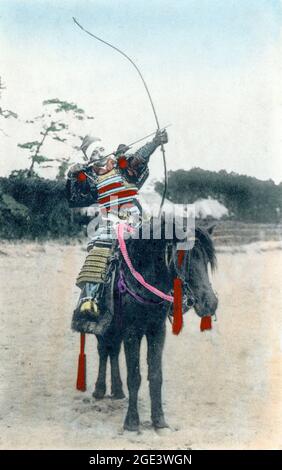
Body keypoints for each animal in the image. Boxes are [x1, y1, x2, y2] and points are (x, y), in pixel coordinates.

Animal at [89, 218, 217, 432]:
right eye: (183, 257)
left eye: (207, 260)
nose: (210, 303)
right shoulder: (132, 332)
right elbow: (135, 376)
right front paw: (132, 421)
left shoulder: (157, 330)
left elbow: (156, 375)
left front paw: (159, 420)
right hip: (105, 327)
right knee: (104, 350)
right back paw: (100, 389)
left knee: (113, 351)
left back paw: (117, 390)